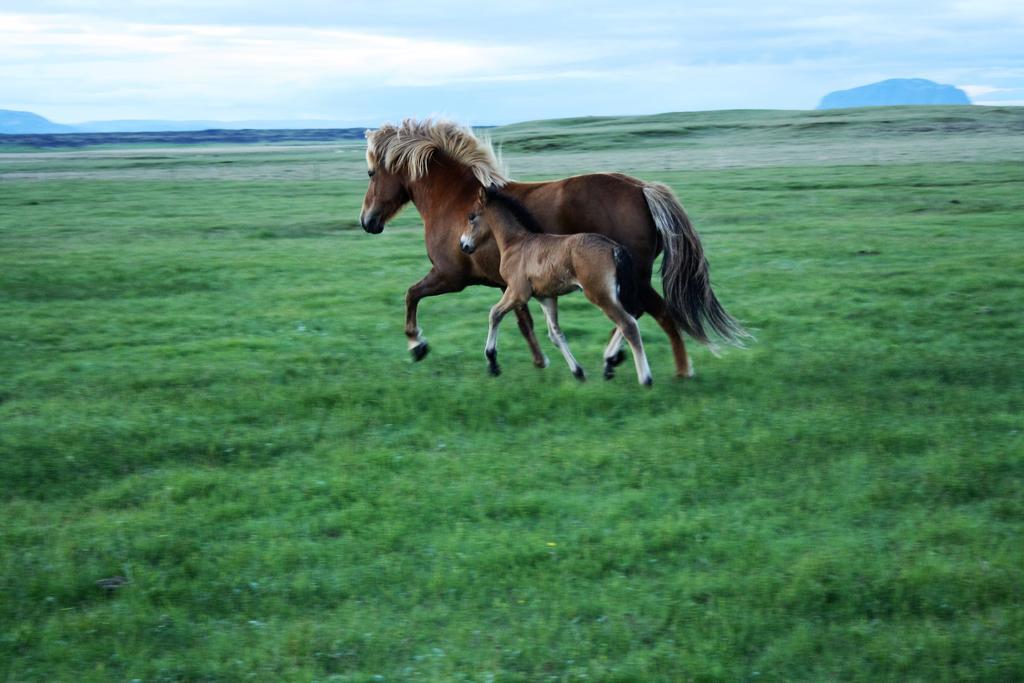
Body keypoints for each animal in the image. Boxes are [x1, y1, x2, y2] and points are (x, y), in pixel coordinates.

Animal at [460, 184, 651, 387]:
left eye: (471, 216)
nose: (463, 245)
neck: (515, 243)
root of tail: (614, 247)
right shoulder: (546, 297)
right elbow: (555, 334)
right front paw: (578, 372)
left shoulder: (518, 292)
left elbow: (494, 314)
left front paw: (492, 363)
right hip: (613, 294)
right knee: (633, 315)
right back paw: (608, 364)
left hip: (599, 294)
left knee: (628, 324)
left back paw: (645, 378)